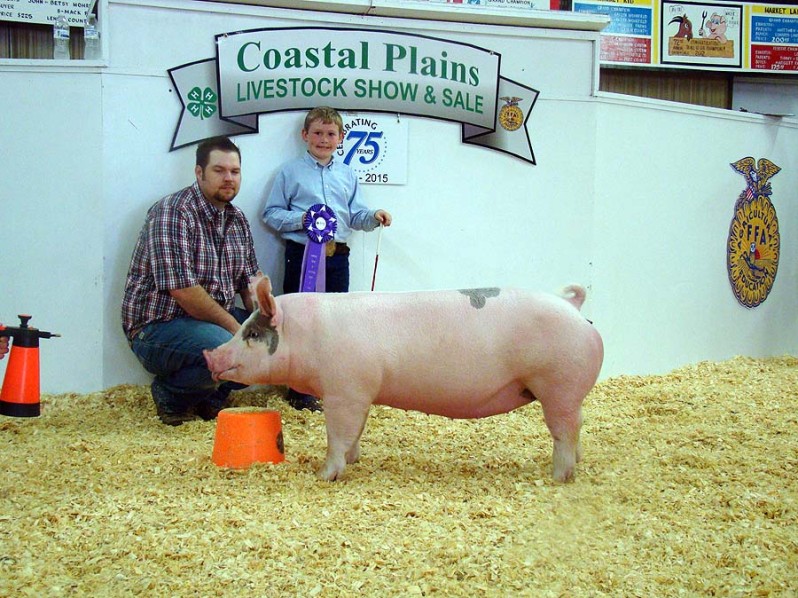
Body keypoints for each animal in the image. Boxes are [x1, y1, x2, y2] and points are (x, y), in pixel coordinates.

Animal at [203, 274, 604, 486]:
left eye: (253, 333)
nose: (211, 355)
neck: (308, 335)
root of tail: (574, 309)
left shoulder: (344, 390)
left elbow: (339, 434)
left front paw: (324, 475)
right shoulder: (361, 392)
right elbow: (356, 432)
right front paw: (354, 461)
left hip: (558, 385)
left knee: (564, 430)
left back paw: (559, 476)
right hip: (568, 393)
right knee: (578, 425)